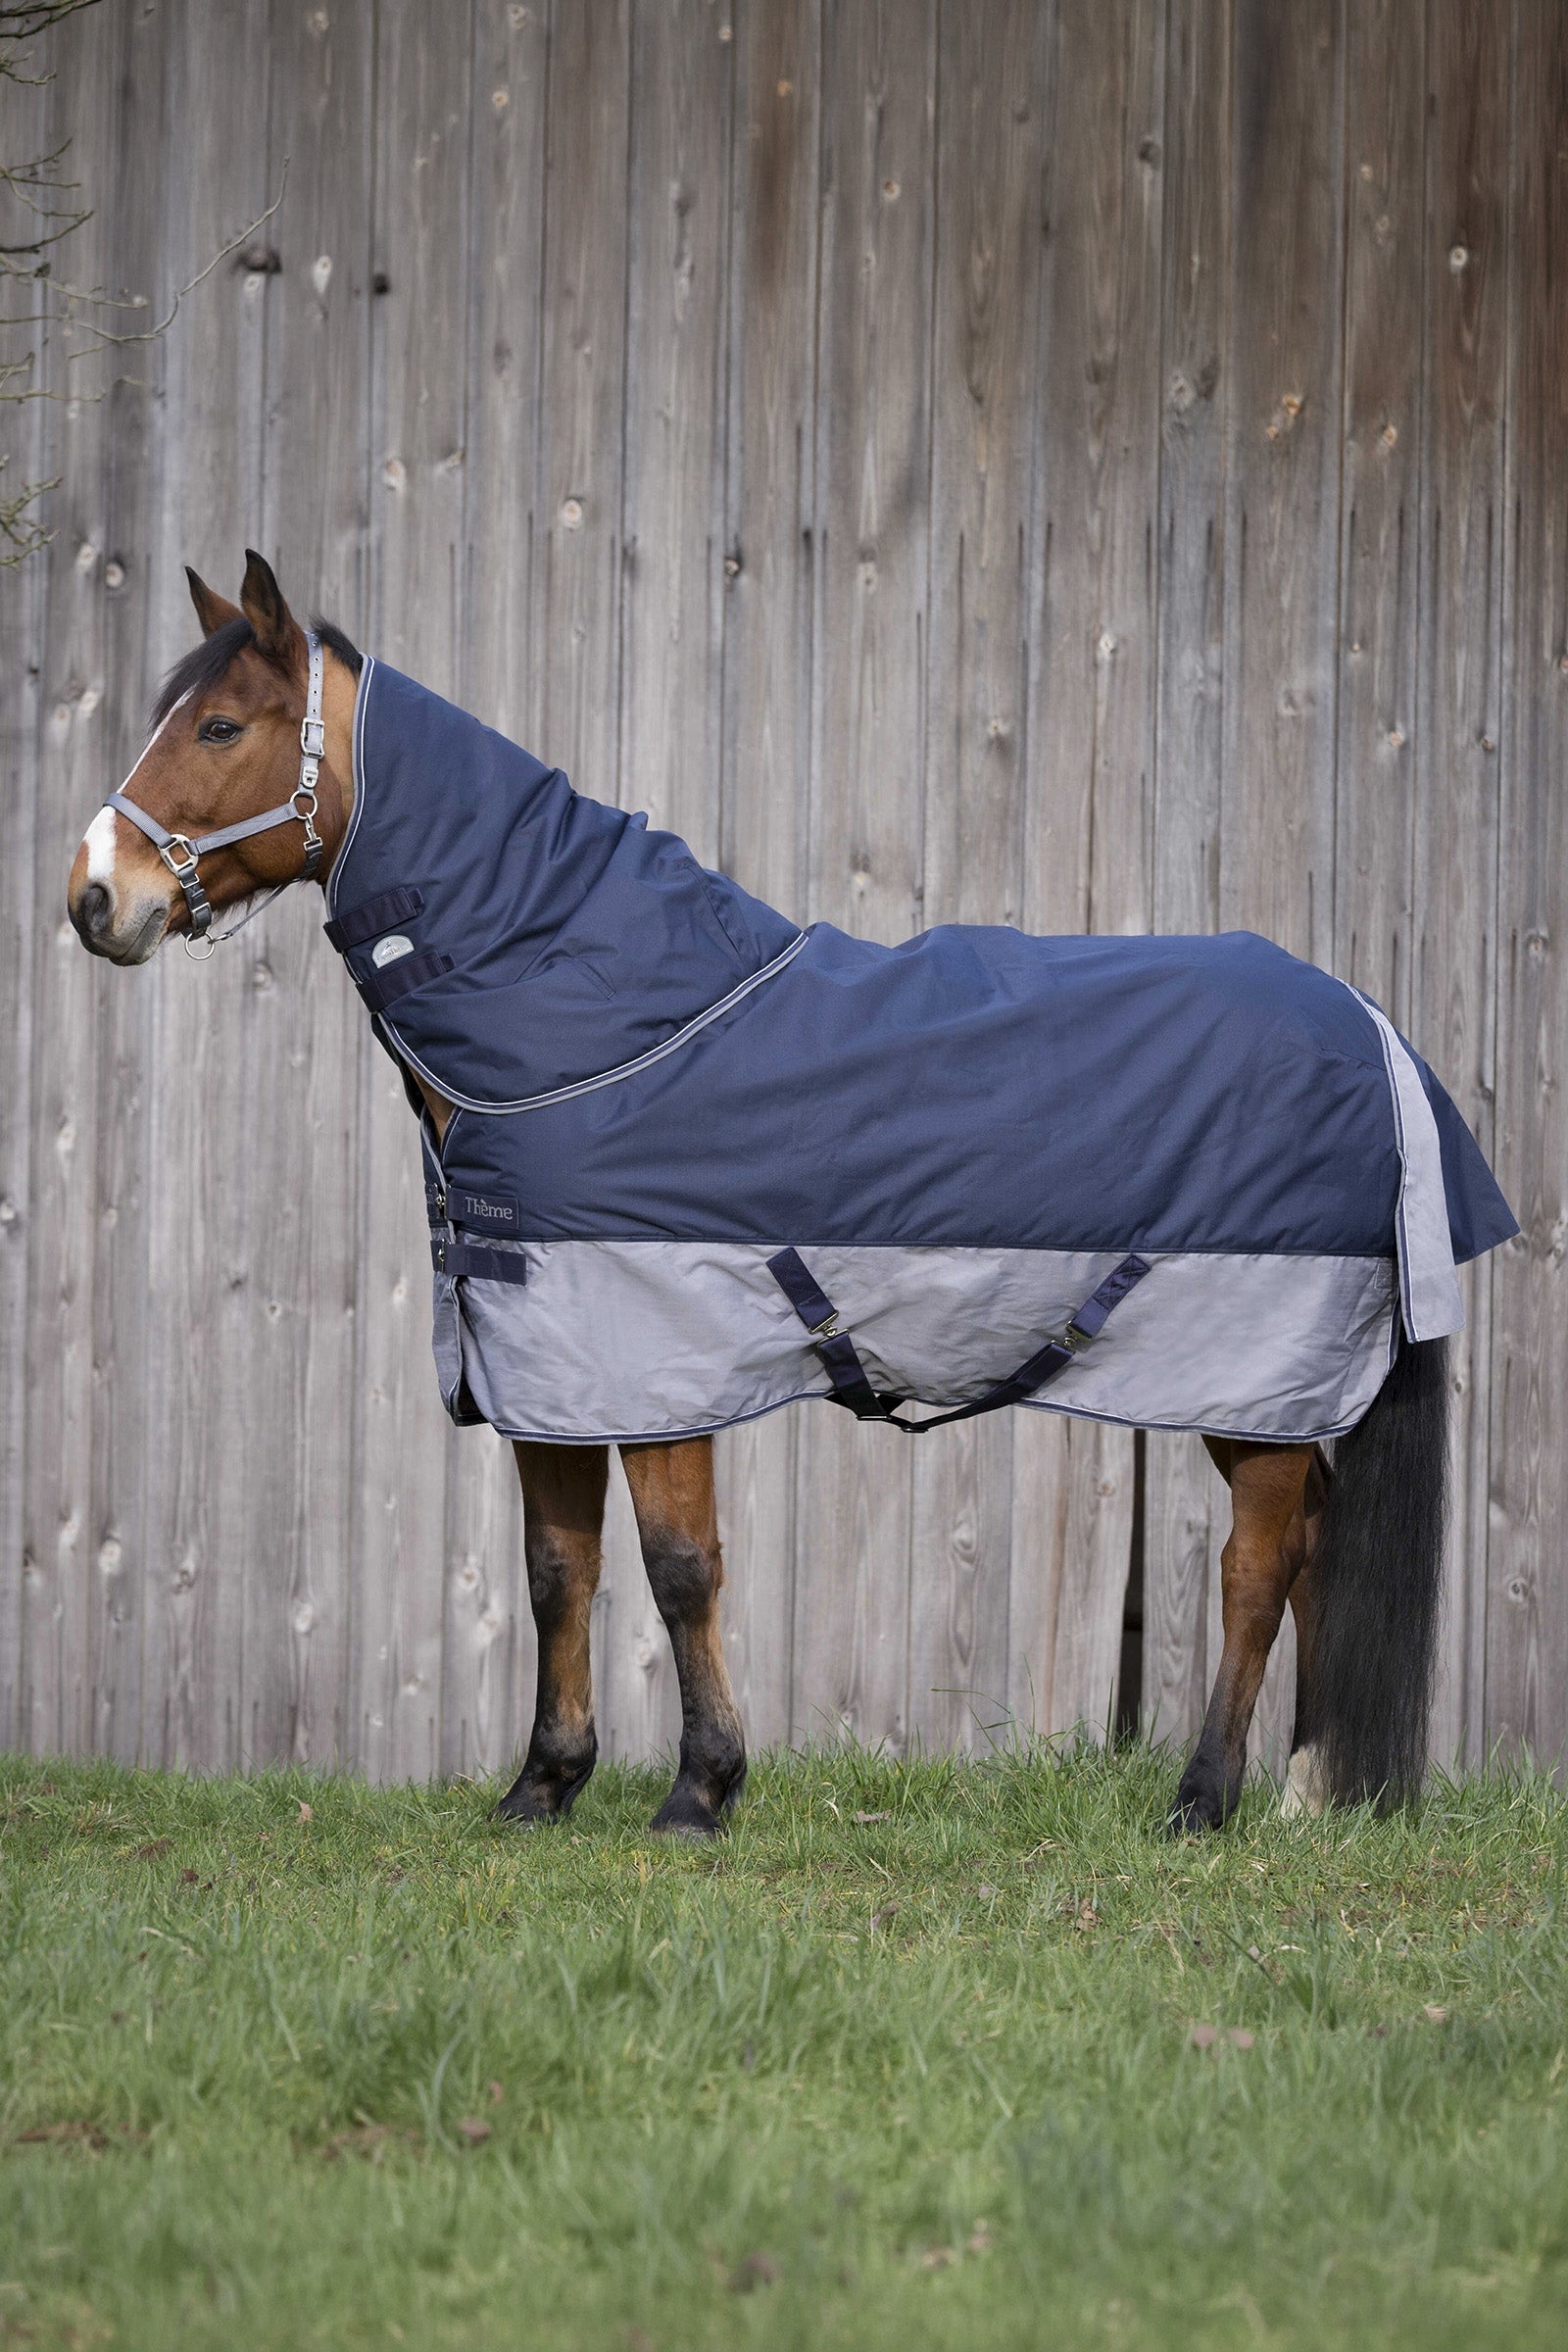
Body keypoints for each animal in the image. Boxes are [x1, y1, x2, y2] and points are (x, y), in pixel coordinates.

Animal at [67, 552, 1510, 1837]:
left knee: (1257, 1570)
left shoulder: (658, 1353)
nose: (96, 900)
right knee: (1314, 1545)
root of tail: (1368, 1026)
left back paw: (1204, 1802)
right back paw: (1308, 1798)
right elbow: (556, 1571)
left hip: (1246, 1377)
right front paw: (542, 1789)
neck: (600, 1018)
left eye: (219, 724)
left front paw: (699, 1794)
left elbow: (677, 1569)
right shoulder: (547, 1352)